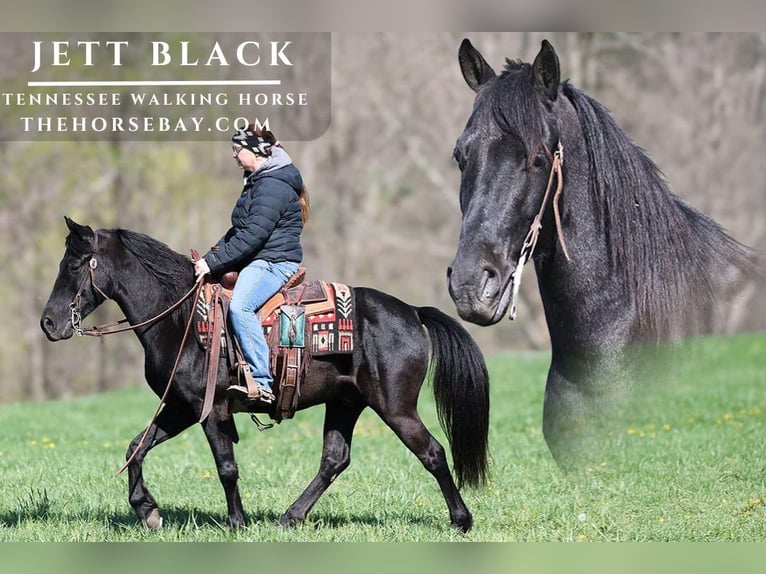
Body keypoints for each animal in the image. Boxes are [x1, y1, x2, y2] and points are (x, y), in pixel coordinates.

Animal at [40, 217, 490, 533]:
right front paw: (147, 510)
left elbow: (226, 466)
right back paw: (291, 517)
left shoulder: (211, 409)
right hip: (346, 403)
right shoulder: (182, 406)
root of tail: (412, 311)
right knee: (334, 460)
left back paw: (461, 520)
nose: (48, 323)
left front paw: (236, 522)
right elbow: (136, 447)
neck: (180, 317)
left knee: (432, 453)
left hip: (395, 407)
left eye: (75, 265)